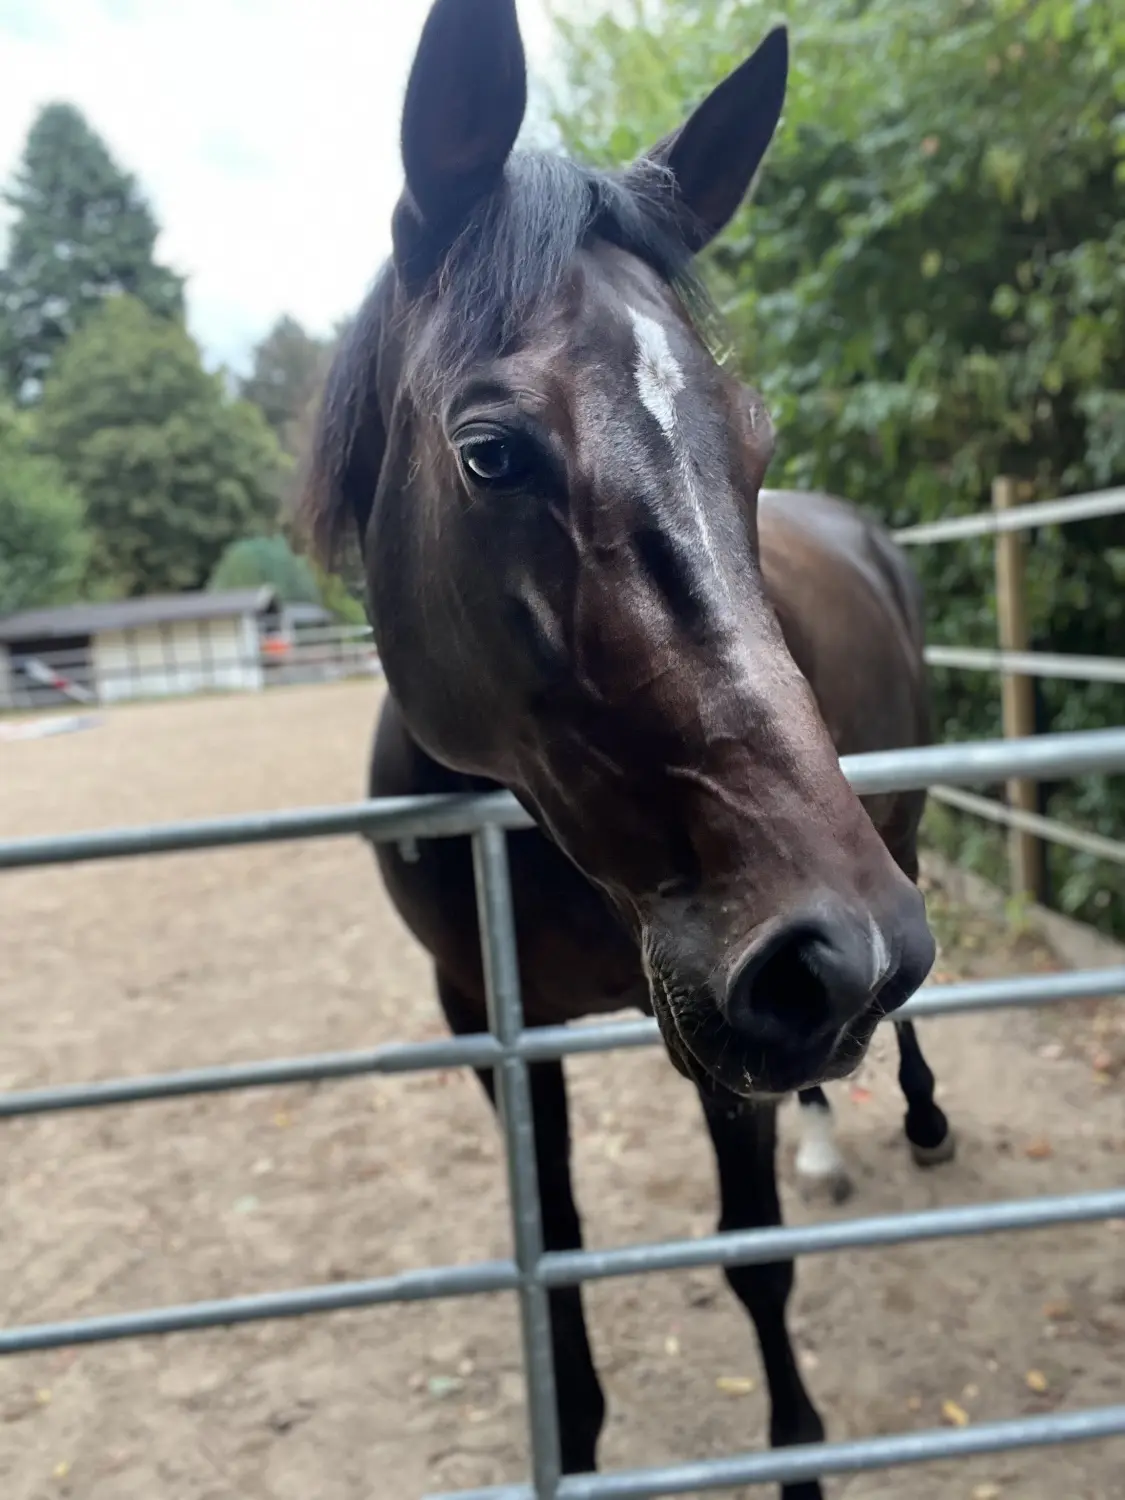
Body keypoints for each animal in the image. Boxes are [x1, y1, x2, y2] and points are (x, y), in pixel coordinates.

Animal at [299, 1, 954, 1493]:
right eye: (490, 451)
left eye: (752, 443)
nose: (840, 951)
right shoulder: (491, 1023)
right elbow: (559, 1278)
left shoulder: (736, 1005)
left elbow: (755, 1262)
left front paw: (798, 1453)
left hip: (894, 839)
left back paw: (921, 1117)